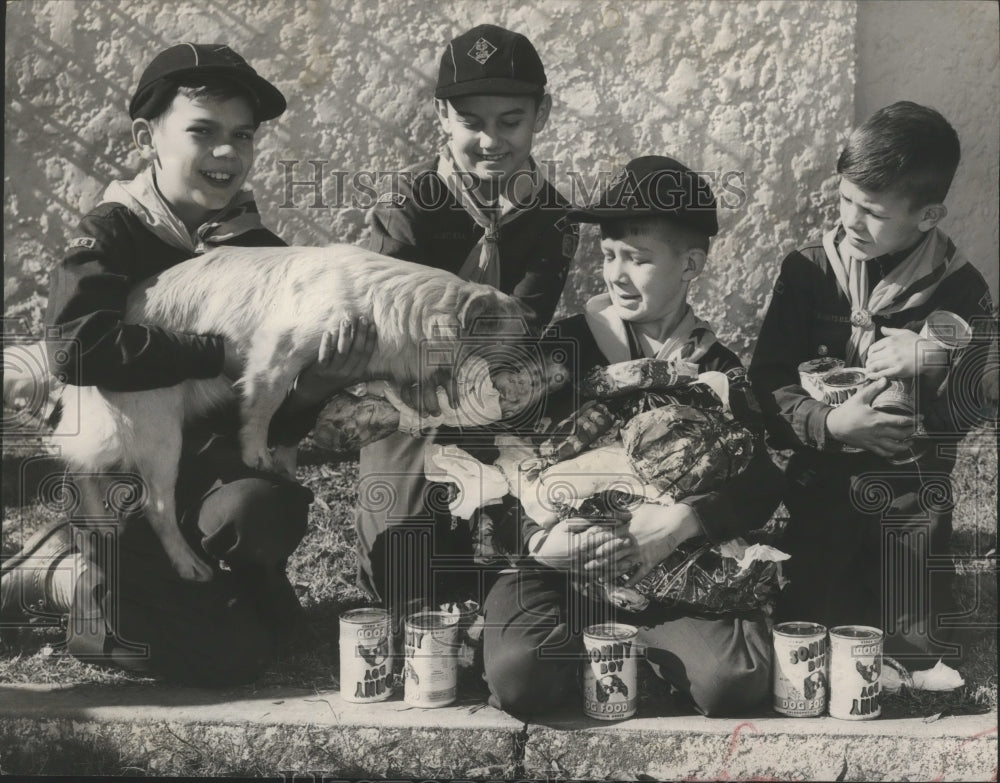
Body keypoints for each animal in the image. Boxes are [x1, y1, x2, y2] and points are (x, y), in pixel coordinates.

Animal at [47, 243, 528, 580]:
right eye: (521, 335)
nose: (538, 378)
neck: (392, 303)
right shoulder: (278, 352)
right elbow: (265, 404)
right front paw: (256, 454)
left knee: (83, 464)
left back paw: (101, 525)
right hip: (160, 433)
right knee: (156, 505)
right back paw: (188, 566)